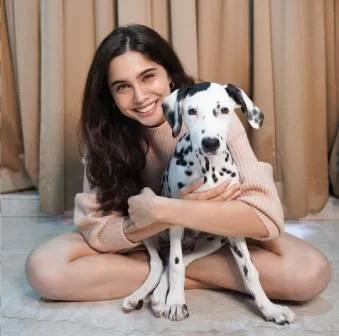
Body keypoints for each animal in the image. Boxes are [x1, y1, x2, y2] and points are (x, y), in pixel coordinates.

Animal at [122, 82, 294, 326]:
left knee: (177, 262)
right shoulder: (175, 218)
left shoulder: (233, 224)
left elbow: (250, 271)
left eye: (224, 110)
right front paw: (176, 303)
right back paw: (139, 297)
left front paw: (269, 308)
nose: (210, 143)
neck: (208, 169)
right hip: (147, 225)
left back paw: (158, 297)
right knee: (159, 262)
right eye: (191, 111)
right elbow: (174, 263)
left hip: (214, 240)